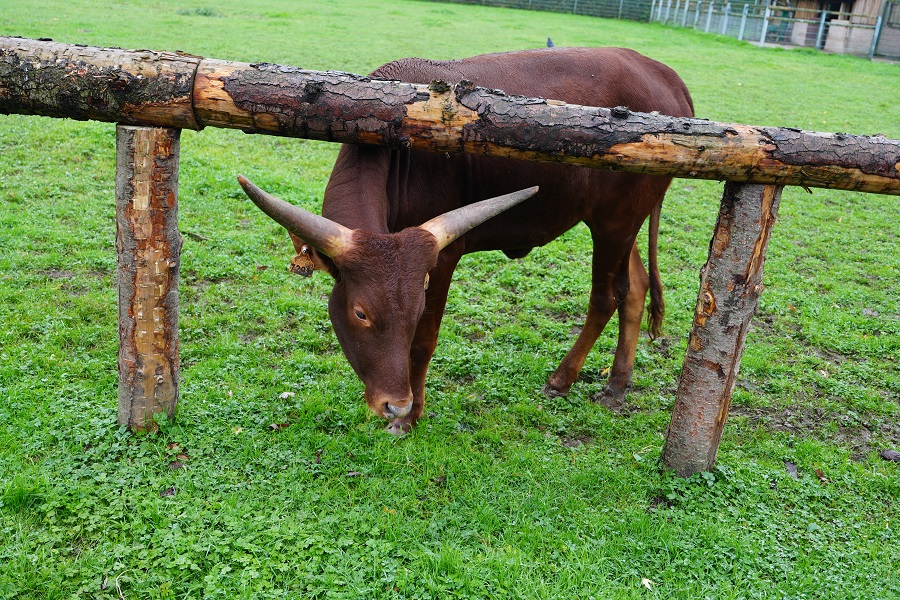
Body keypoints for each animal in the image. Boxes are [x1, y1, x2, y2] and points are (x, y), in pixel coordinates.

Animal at [237, 47, 688, 432]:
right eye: (361, 313)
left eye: (416, 307)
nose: (394, 403)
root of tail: (667, 77)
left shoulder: (444, 256)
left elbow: (423, 342)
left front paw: (410, 418)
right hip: (620, 224)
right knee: (635, 287)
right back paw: (618, 383)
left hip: (616, 224)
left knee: (606, 297)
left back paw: (563, 379)